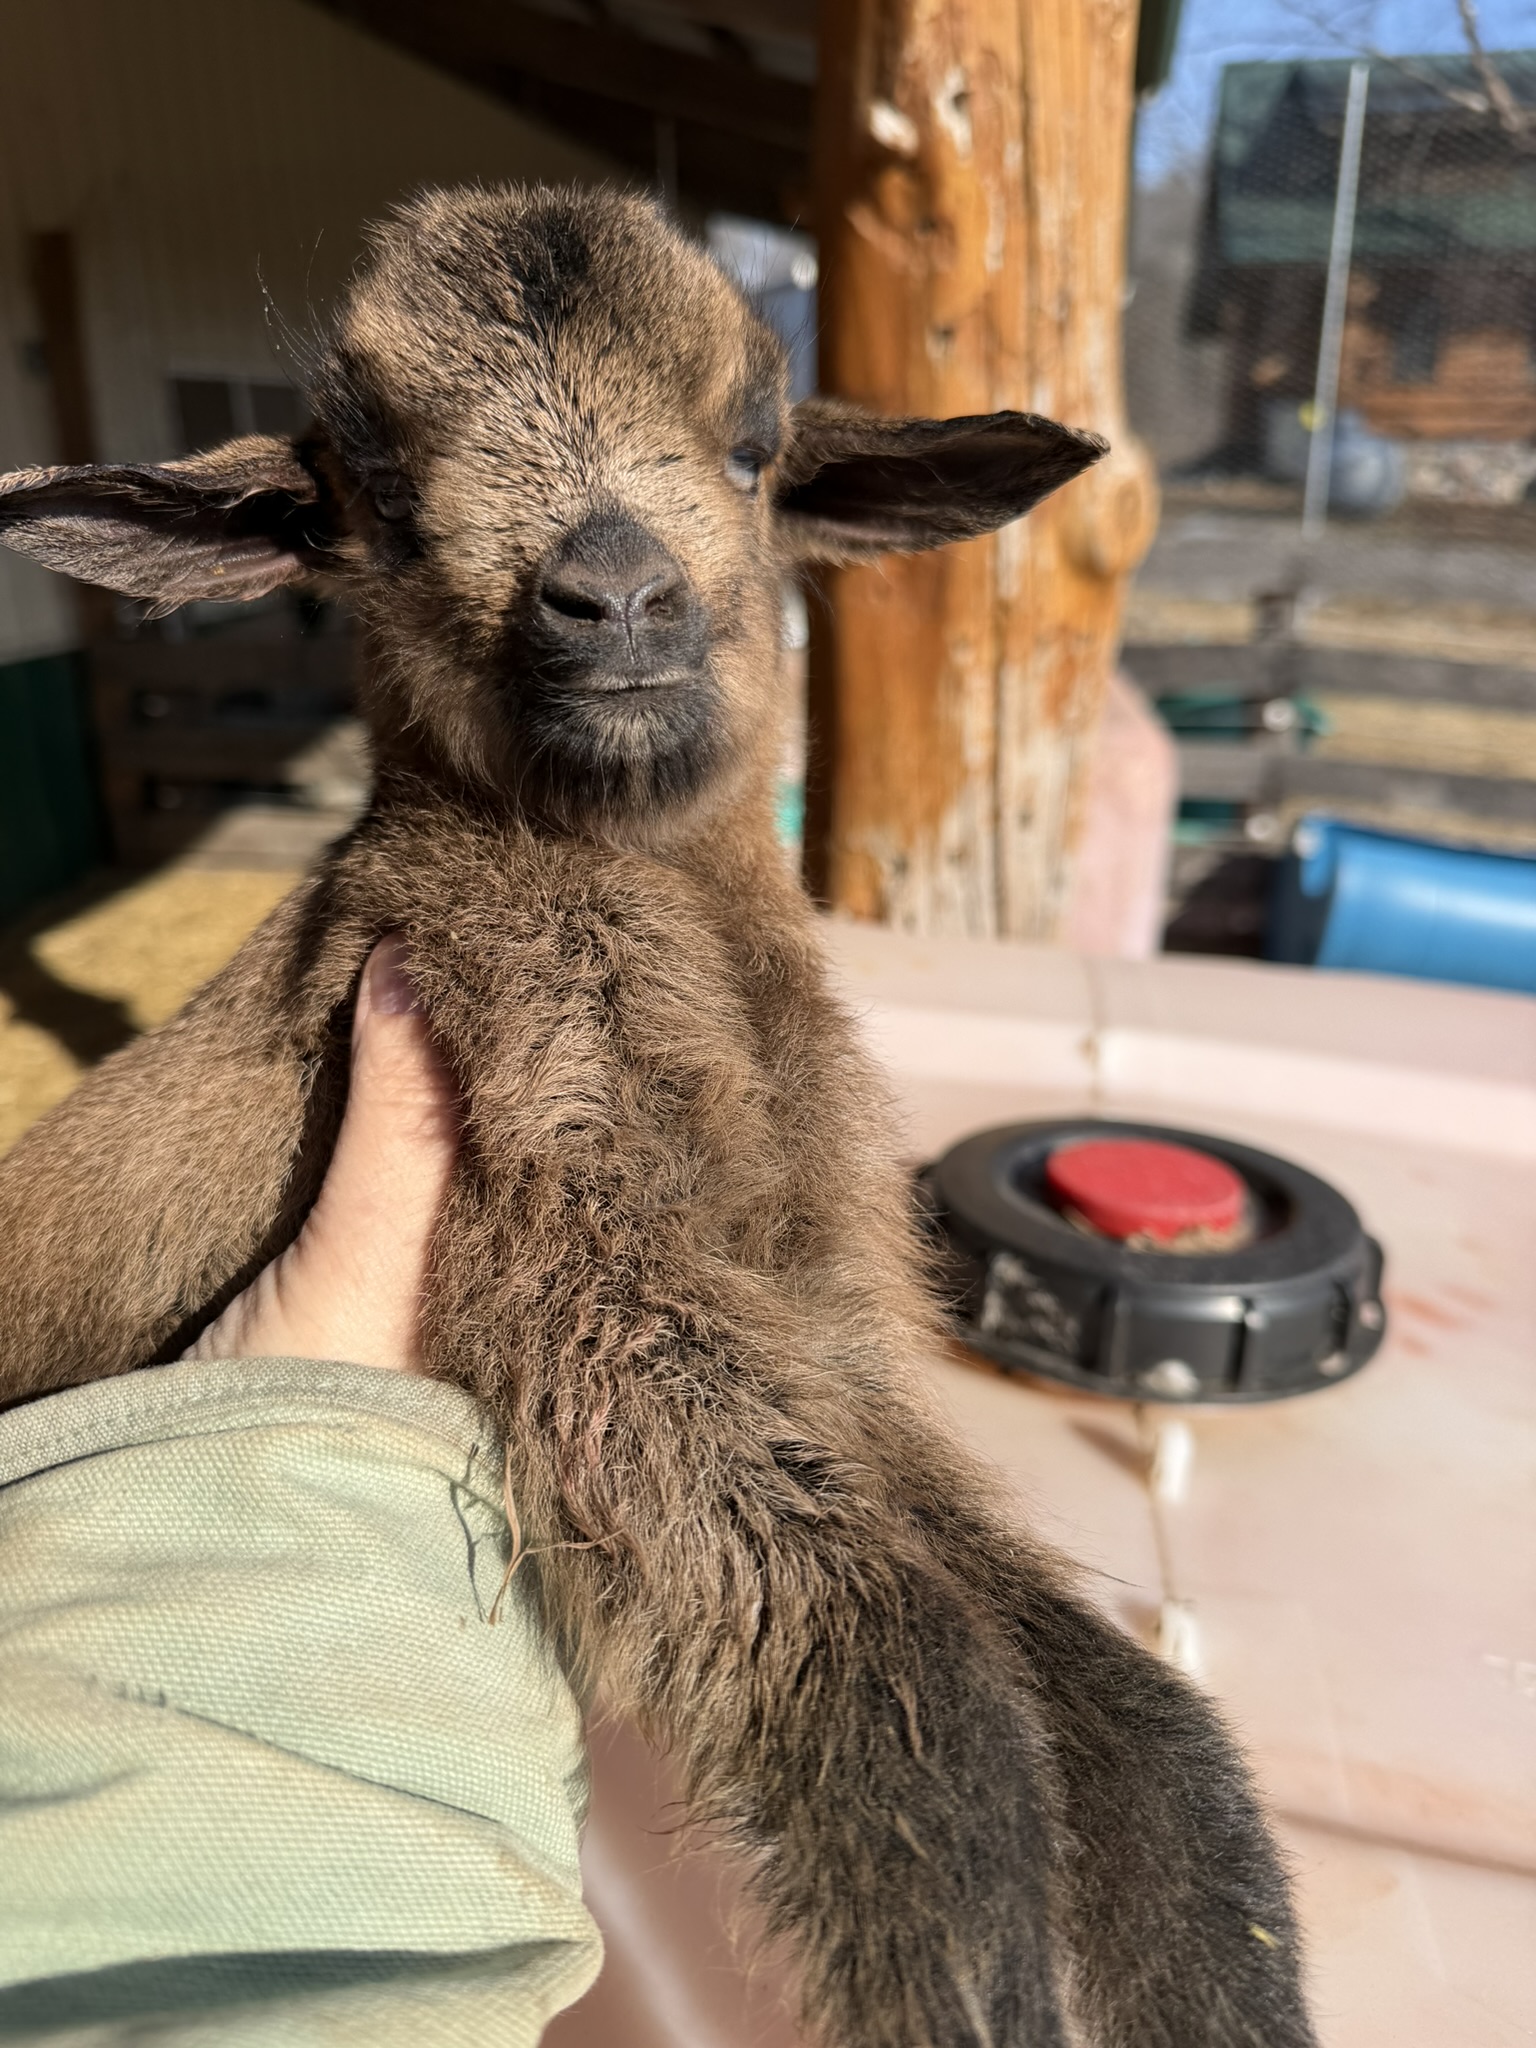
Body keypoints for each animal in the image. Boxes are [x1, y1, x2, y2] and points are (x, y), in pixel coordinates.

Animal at [0, 186, 1314, 2048]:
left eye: (757, 439)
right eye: (372, 488)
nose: (613, 599)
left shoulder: (817, 1306)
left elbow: (1113, 1697)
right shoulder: (576, 1244)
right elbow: (917, 1689)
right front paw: (970, 1996)